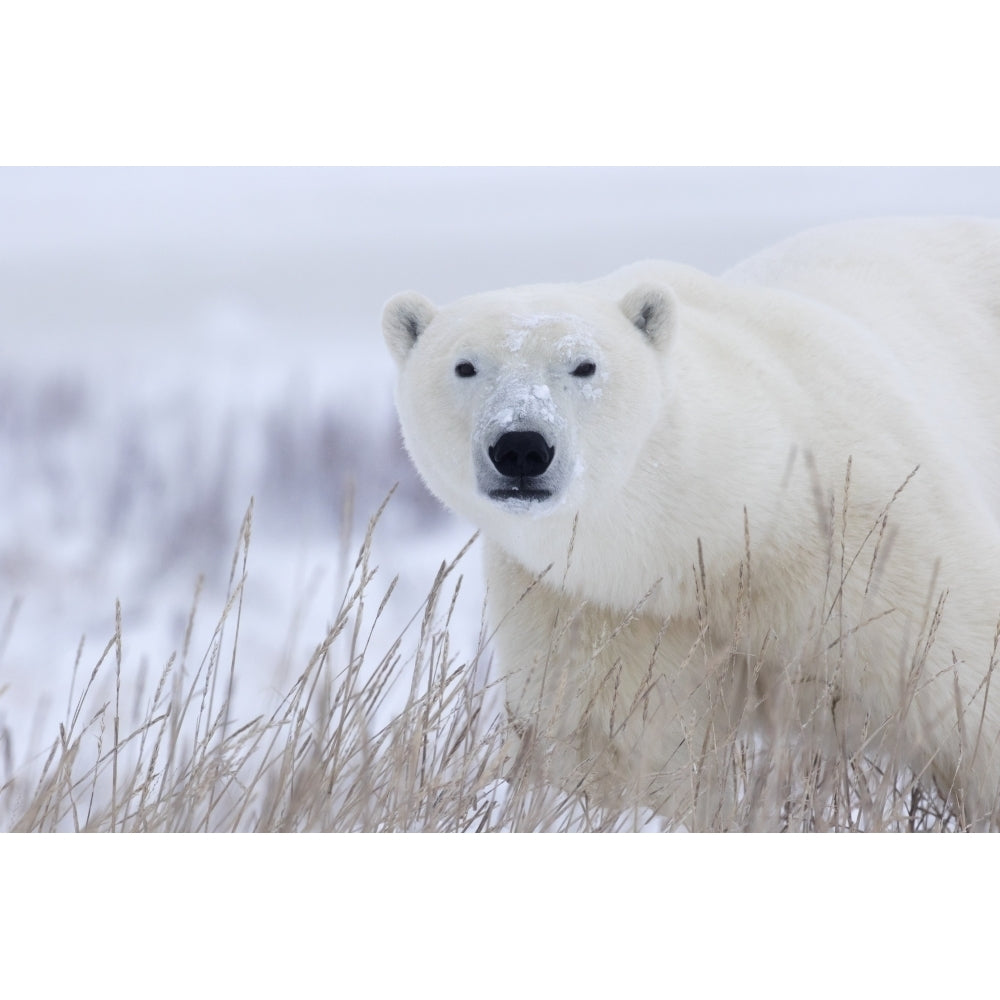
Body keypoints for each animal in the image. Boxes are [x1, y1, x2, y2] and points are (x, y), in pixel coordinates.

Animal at [380, 219, 1000, 828]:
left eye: (584, 364)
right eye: (465, 366)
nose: (521, 447)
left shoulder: (873, 544)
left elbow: (967, 693)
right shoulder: (602, 607)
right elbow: (624, 746)